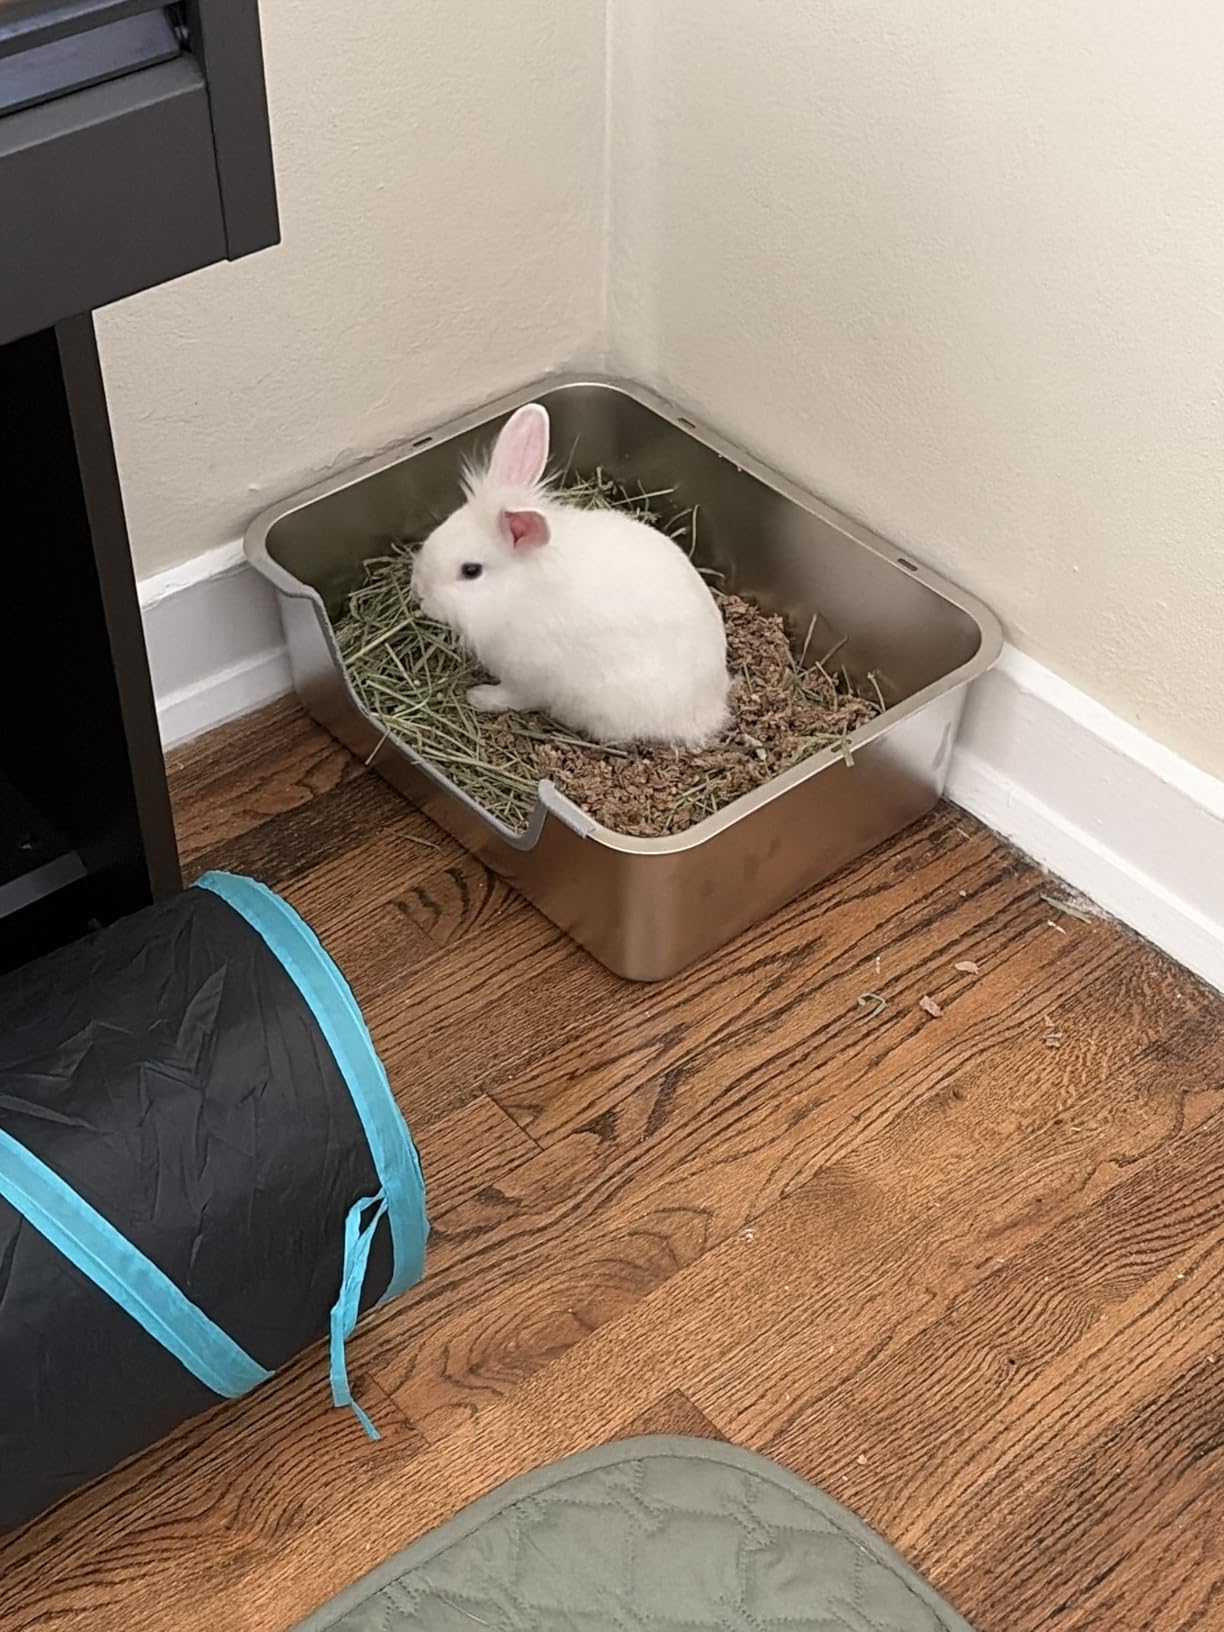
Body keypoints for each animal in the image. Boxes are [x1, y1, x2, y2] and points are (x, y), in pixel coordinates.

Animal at [410, 403, 731, 748]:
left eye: (471, 571)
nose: (419, 594)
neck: (516, 591)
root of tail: (709, 711)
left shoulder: (527, 676)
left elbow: (512, 696)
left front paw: (478, 697)